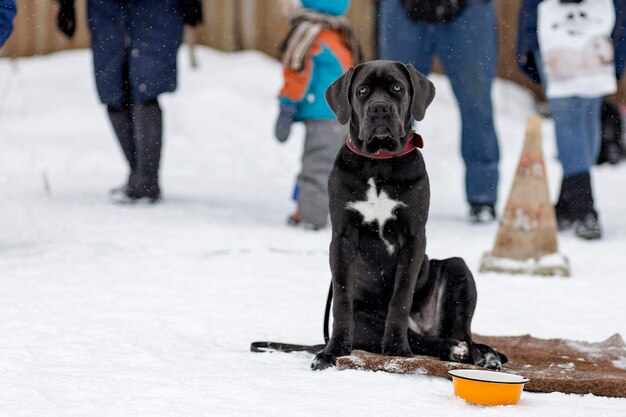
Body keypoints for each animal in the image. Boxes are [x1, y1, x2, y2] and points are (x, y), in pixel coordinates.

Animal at [310, 60, 504, 368]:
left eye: (396, 88)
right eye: (362, 90)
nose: (379, 108)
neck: (378, 162)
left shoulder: (413, 237)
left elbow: (400, 297)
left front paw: (396, 349)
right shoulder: (342, 237)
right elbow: (341, 298)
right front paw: (333, 351)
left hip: (457, 269)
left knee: (462, 333)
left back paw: (479, 355)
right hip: (365, 321)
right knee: (425, 339)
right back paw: (452, 349)